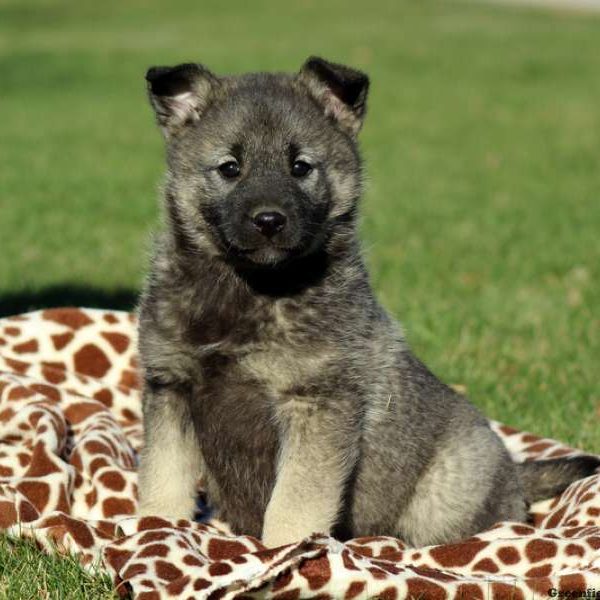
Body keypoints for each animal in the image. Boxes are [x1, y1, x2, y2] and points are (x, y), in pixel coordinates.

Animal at [137, 57, 600, 548]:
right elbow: (163, 479)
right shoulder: (170, 388)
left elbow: (293, 503)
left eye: (300, 166)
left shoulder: (317, 403)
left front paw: (286, 551)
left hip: (442, 500)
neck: (248, 289)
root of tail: (514, 469)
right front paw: (153, 530)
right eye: (229, 167)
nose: (269, 220)